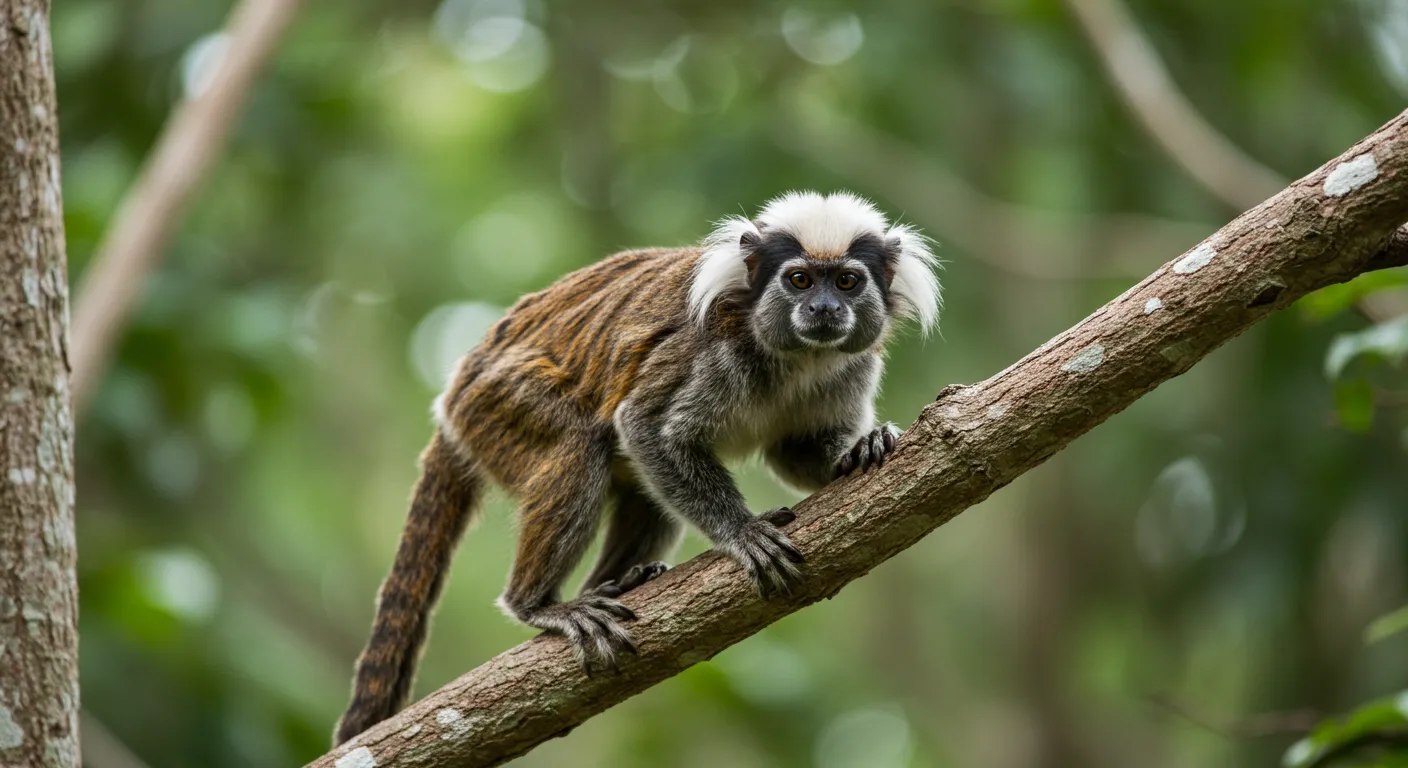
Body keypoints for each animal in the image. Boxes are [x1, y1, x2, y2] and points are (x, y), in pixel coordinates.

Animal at [335, 187, 940, 744]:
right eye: (799, 281)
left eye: (846, 282)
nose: (823, 310)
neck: (799, 358)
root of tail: (455, 393)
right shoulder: (709, 354)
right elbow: (645, 427)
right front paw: (743, 533)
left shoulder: (853, 367)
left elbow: (794, 454)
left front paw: (858, 451)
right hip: (494, 404)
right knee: (582, 443)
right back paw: (539, 604)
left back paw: (617, 581)